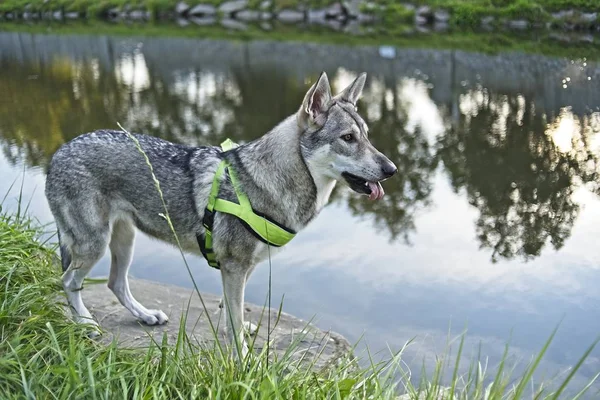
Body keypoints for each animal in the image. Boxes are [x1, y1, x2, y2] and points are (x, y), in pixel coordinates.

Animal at [43, 72, 398, 360]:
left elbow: (231, 313)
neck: (268, 180)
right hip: (95, 244)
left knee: (115, 283)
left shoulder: (243, 268)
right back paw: (86, 323)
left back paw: (145, 316)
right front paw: (244, 357)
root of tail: (61, 150)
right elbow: (235, 318)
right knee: (69, 282)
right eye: (348, 138)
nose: (392, 169)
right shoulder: (235, 266)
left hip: (123, 240)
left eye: (367, 135)